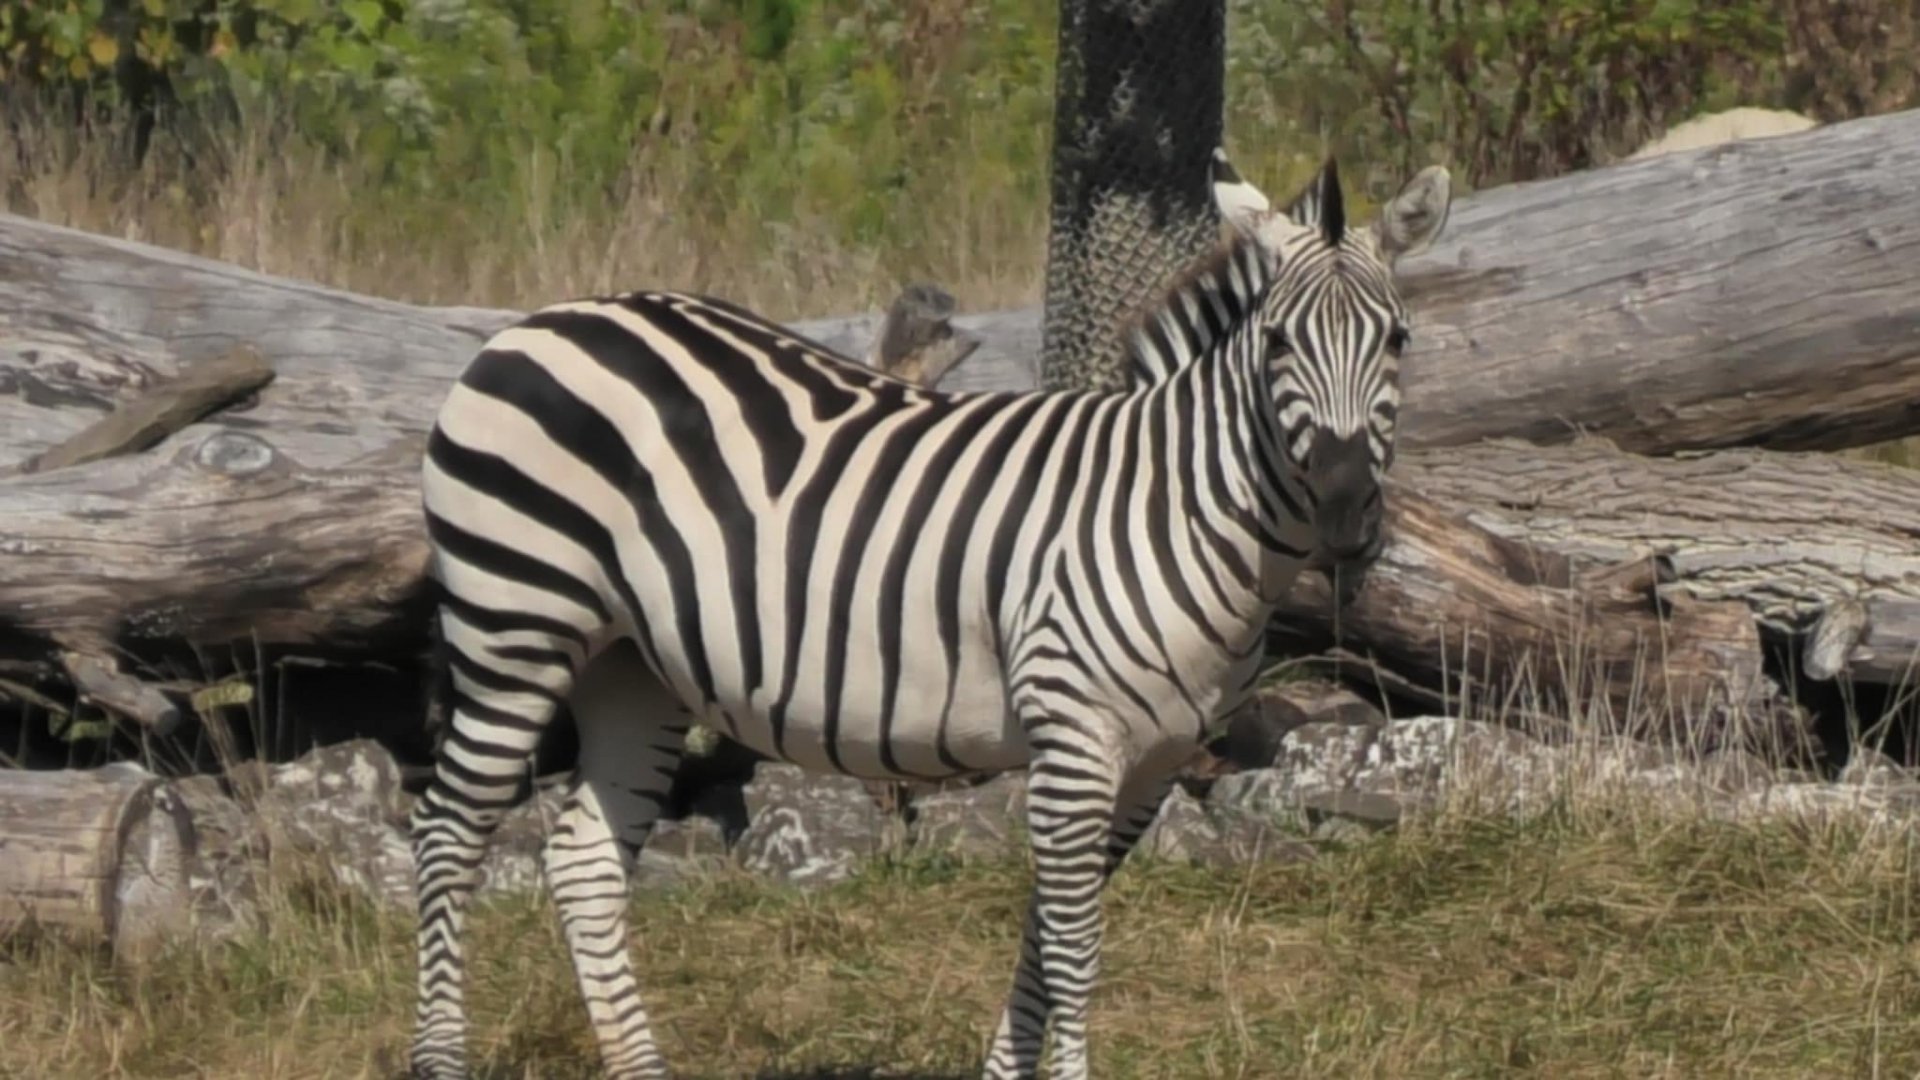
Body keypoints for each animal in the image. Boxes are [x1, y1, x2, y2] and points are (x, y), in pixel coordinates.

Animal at [407, 149, 1451, 1080]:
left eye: (1398, 340)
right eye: (1278, 344)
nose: (1347, 515)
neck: (1176, 510)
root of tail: (549, 319)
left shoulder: (1151, 764)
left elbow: (1046, 942)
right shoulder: (1075, 739)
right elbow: (1074, 953)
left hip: (633, 661)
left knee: (583, 863)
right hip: (514, 620)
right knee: (445, 834)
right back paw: (440, 1057)